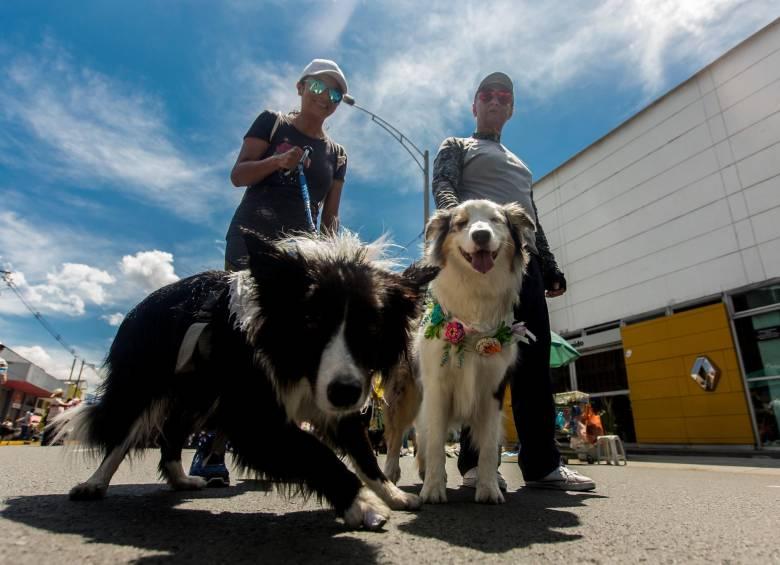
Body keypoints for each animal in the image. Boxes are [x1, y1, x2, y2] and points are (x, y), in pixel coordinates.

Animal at [51, 229, 436, 528]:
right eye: (310, 322)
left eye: (371, 329)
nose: (344, 393)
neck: (293, 363)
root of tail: (143, 303)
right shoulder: (253, 416)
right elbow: (314, 452)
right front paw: (363, 504)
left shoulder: (338, 395)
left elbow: (363, 453)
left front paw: (392, 493)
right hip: (141, 383)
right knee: (121, 435)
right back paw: (94, 483)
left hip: (198, 394)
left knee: (172, 433)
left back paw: (180, 478)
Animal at [382, 198, 536, 502]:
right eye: (461, 223)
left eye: (496, 220)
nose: (481, 235)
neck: (475, 295)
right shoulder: (437, 385)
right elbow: (436, 442)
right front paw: (433, 490)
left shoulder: (493, 389)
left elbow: (487, 446)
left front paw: (488, 489)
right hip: (407, 393)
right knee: (398, 435)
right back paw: (393, 473)